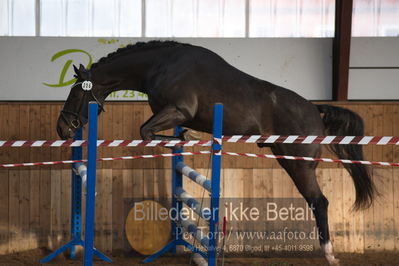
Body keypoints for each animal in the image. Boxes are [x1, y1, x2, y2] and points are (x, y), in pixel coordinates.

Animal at [57, 40, 378, 264]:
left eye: (74, 93)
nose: (63, 129)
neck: (158, 65)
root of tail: (315, 109)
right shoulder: (174, 114)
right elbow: (158, 134)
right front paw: (187, 137)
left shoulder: (177, 110)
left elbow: (146, 132)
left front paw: (188, 136)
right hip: (286, 159)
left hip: (298, 165)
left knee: (319, 202)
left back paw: (330, 254)